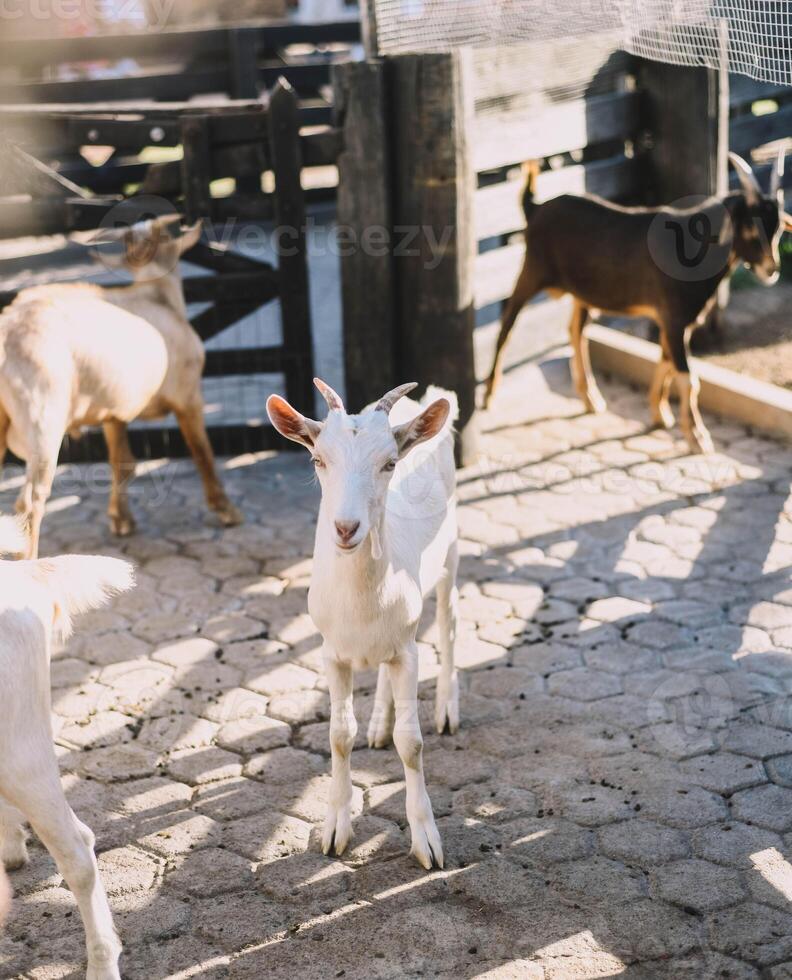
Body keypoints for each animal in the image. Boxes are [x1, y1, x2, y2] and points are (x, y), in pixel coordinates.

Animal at [0, 216, 243, 560]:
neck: (156, 294)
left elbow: (122, 463)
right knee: (31, 500)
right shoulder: (188, 396)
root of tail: (7, 332)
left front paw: (121, 520)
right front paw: (226, 510)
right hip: (42, 420)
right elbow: (202, 453)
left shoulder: (113, 411)